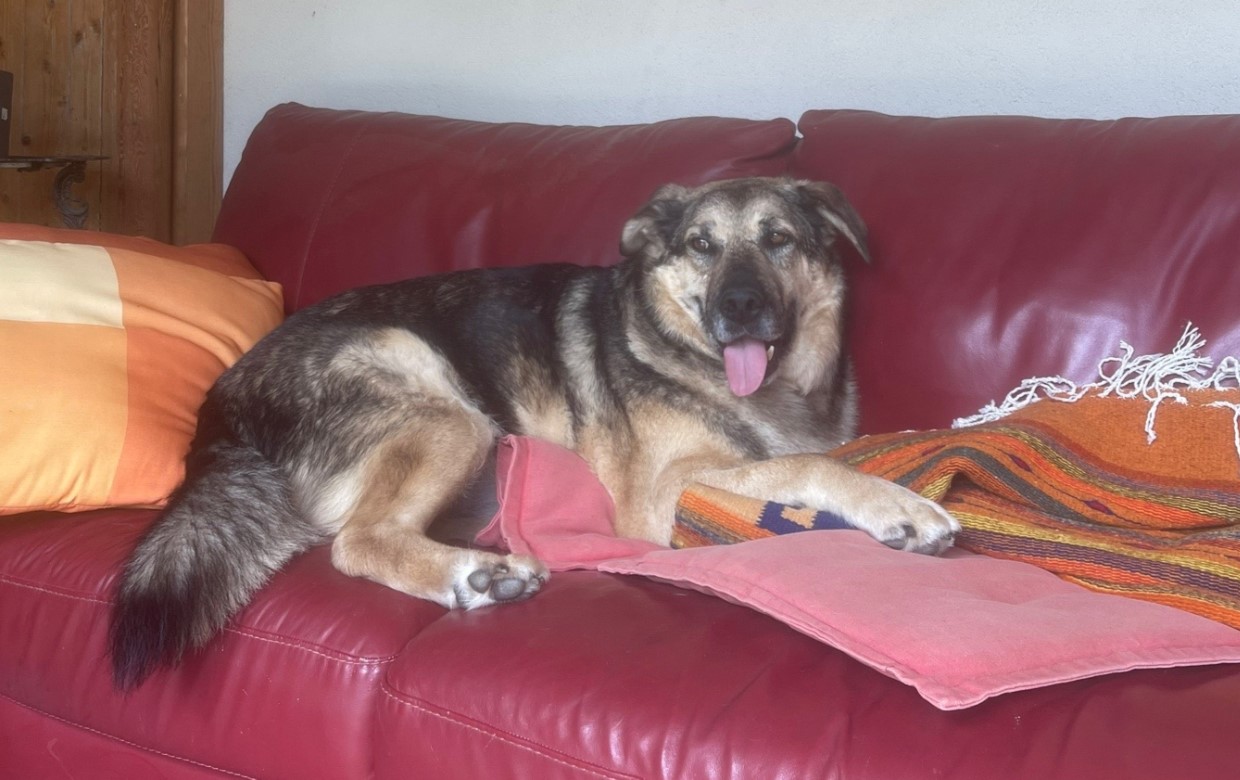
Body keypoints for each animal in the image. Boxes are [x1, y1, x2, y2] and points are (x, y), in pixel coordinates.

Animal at [106, 174, 957, 689]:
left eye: (779, 239)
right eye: (701, 246)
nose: (740, 308)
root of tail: (224, 404)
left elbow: (825, 455)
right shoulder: (662, 495)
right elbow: (813, 466)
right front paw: (902, 509)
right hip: (445, 407)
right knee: (359, 541)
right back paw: (475, 576)